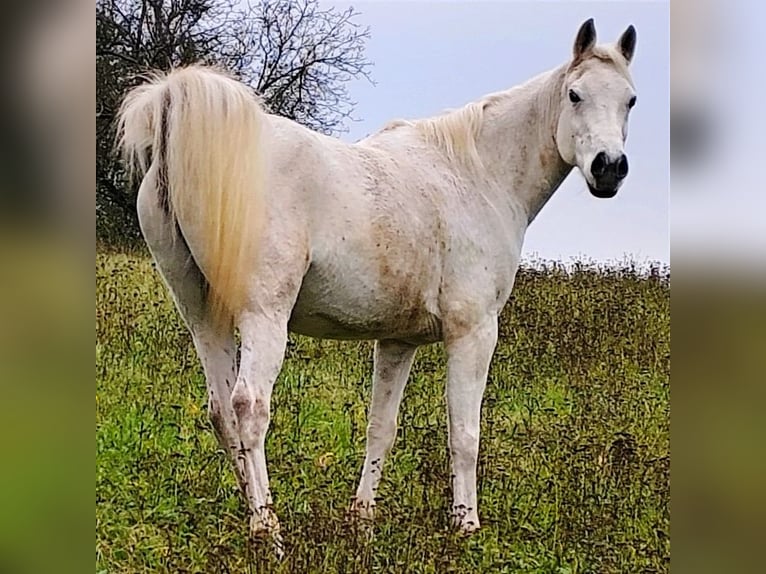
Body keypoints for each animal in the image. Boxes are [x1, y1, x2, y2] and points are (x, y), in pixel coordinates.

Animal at [117, 19, 640, 548]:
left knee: (222, 410)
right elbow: (465, 434)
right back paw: (269, 529)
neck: (476, 175)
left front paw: (362, 517)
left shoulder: (397, 341)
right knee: (249, 409)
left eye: (631, 100)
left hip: (204, 318)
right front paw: (466, 524)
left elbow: (380, 426)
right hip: (264, 318)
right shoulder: (473, 333)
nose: (610, 168)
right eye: (574, 94)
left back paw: (253, 515)